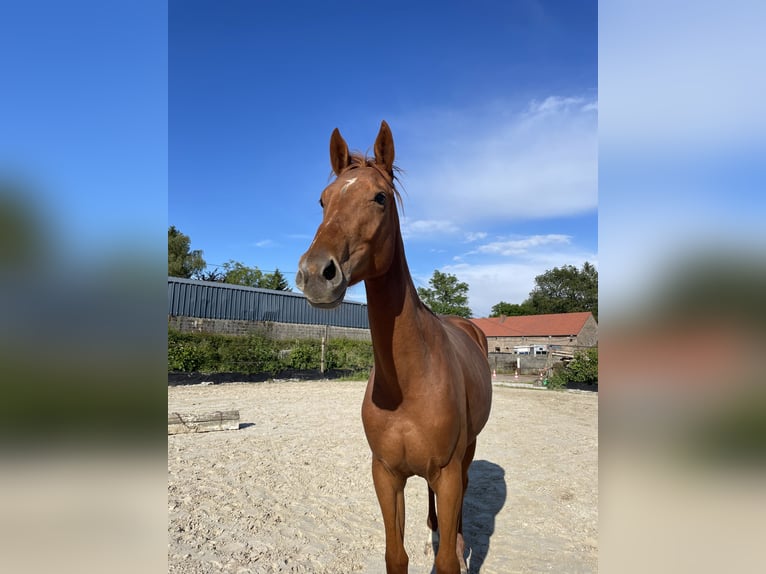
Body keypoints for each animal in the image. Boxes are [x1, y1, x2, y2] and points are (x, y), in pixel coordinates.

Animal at [296, 121, 492, 574]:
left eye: (380, 197)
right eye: (323, 200)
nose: (316, 273)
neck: (410, 381)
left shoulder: (448, 473)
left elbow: (447, 560)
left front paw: (453, 551)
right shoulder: (386, 475)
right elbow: (395, 555)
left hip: (467, 453)